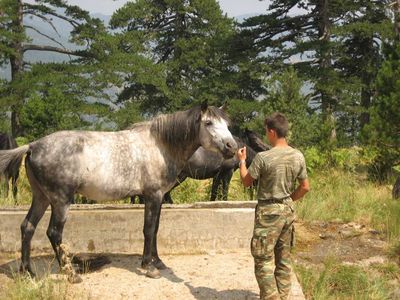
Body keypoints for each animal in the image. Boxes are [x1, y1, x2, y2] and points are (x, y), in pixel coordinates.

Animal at [0, 103, 238, 282]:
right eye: (208, 123)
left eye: (227, 124)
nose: (232, 147)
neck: (159, 146)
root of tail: (32, 146)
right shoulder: (152, 195)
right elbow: (149, 229)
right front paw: (148, 267)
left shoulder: (159, 197)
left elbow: (156, 229)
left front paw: (158, 261)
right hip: (60, 201)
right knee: (53, 233)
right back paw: (71, 273)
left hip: (41, 197)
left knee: (27, 227)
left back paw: (28, 272)